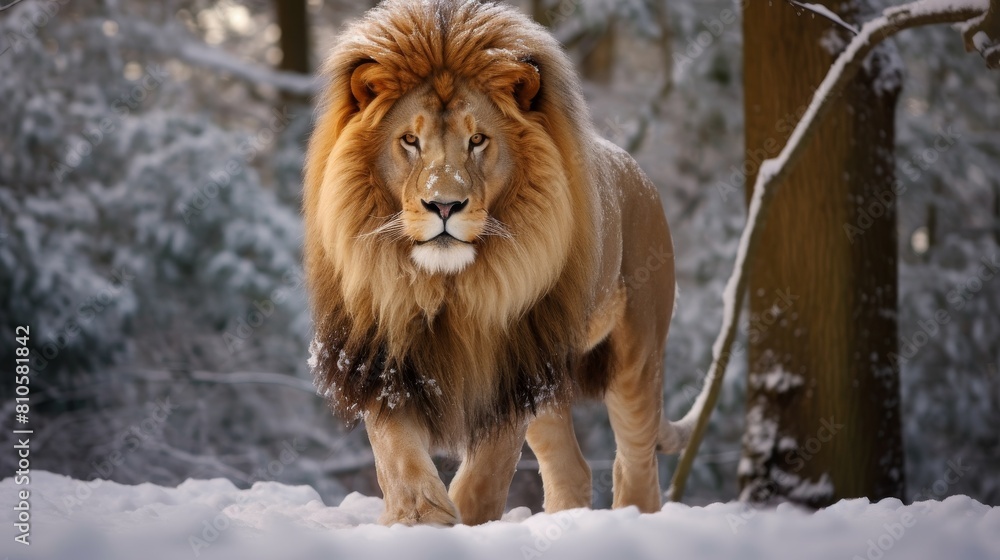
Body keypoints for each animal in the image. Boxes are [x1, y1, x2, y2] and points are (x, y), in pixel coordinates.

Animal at [304, 0, 696, 528]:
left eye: (478, 141)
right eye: (410, 141)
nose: (443, 205)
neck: (446, 285)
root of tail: (638, 172)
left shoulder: (514, 365)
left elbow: (486, 473)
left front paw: (466, 520)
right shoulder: (382, 352)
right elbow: (397, 454)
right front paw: (420, 519)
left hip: (636, 357)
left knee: (636, 463)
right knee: (571, 468)